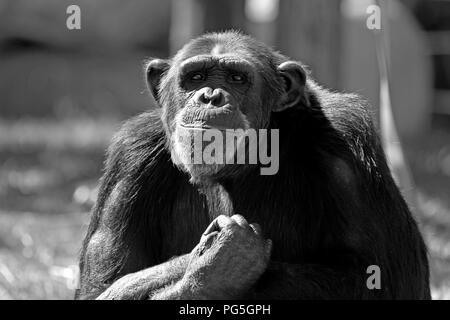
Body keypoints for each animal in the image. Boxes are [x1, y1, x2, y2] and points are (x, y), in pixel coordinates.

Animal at [75, 31, 430, 298]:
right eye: (195, 77)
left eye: (236, 78)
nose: (210, 96)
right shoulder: (132, 157)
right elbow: (102, 288)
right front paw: (213, 265)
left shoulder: (349, 144)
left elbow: (382, 277)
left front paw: (215, 256)